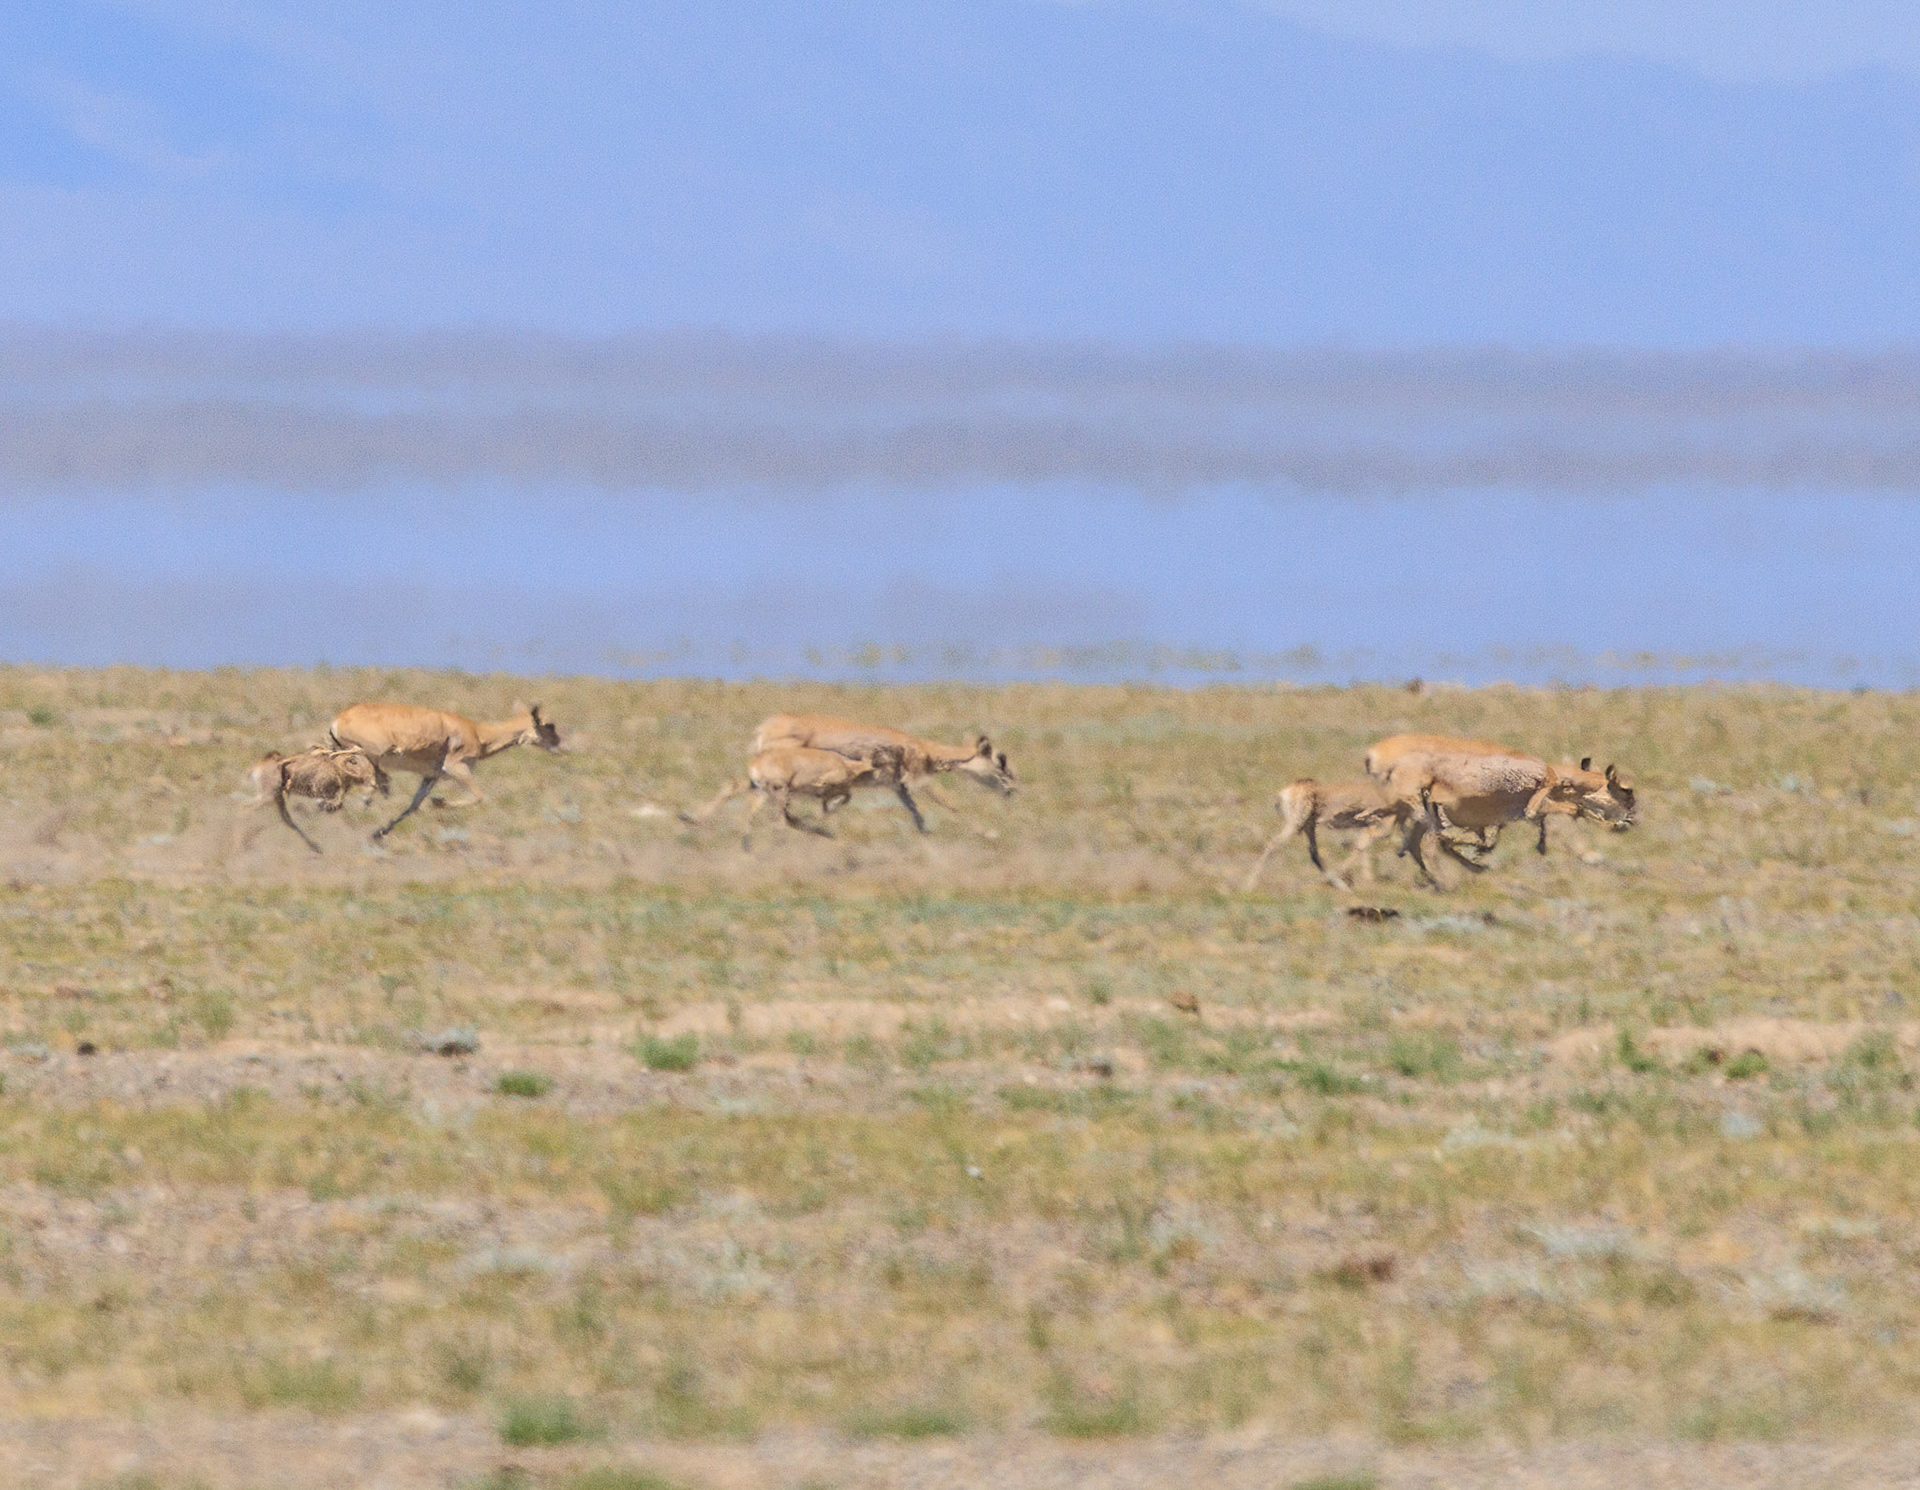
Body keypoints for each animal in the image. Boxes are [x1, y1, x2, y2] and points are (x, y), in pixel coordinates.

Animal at [245, 746, 380, 854]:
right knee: (248, 810)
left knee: (286, 821)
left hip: (276, 799)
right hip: (266, 797)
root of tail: (257, 768)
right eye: (354, 761)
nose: (374, 784)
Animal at [328, 701, 563, 841]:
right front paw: (438, 802)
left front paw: (379, 832)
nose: (560, 746)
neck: (476, 731)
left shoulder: (431, 776)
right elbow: (478, 796)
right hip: (365, 752)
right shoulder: (456, 768)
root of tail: (340, 719)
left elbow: (414, 805)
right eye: (549, 725)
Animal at [680, 744, 908, 849]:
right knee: (772, 816)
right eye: (889, 757)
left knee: (735, 790)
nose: (902, 778)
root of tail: (756, 761)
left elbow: (840, 799)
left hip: (762, 789)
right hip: (777, 791)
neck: (845, 764)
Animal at [749, 715, 1015, 832]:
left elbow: (916, 814)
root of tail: (766, 725)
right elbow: (950, 802)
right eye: (1001, 760)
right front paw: (987, 832)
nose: (1013, 788)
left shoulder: (899, 787)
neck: (922, 748)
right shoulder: (919, 781)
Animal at [1244, 779, 1414, 893]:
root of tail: (1286, 792)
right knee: (1273, 844)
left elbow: (1362, 848)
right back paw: (1249, 885)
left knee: (1314, 854)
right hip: (1295, 826)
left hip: (1308, 827)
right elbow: (1361, 847)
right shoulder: (1377, 828)